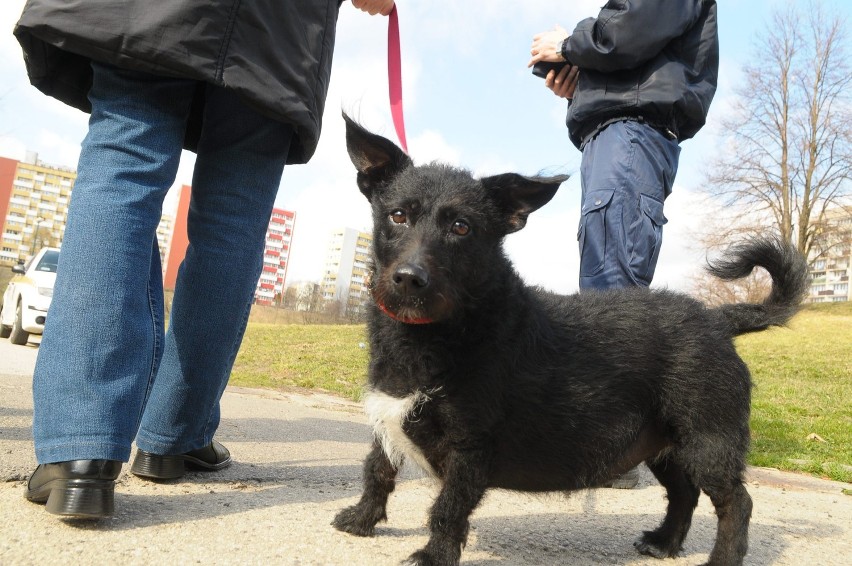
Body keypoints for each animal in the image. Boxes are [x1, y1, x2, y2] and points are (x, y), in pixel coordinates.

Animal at [330, 115, 808, 566]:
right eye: (397, 215)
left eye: (462, 227)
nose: (409, 279)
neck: (440, 331)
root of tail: (716, 318)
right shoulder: (388, 418)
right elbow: (377, 471)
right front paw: (361, 519)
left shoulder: (470, 446)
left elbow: (448, 508)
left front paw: (434, 555)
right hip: (665, 446)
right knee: (683, 493)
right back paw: (664, 542)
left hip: (708, 441)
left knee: (737, 504)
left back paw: (720, 556)